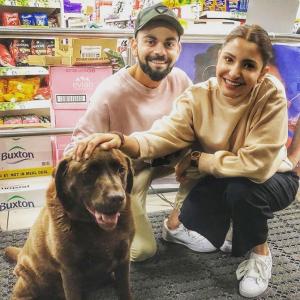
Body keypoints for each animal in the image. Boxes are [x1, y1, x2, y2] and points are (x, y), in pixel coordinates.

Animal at [5, 148, 134, 300]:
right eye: (89, 172)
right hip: (29, 279)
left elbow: (124, 289)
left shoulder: (124, 259)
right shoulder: (69, 271)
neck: (95, 228)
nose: (117, 198)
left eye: (121, 170)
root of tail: (20, 254)